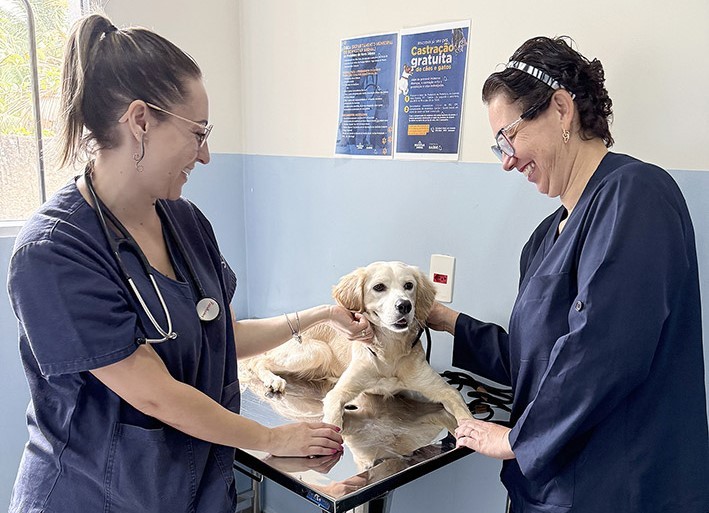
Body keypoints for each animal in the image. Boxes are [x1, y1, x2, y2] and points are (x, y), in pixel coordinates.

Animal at [241, 260, 472, 428]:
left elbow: (464, 413)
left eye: (409, 286)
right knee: (259, 362)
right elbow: (333, 422)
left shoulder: (444, 391)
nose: (405, 305)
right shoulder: (338, 394)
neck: (389, 351)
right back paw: (273, 380)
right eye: (379, 287)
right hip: (318, 351)